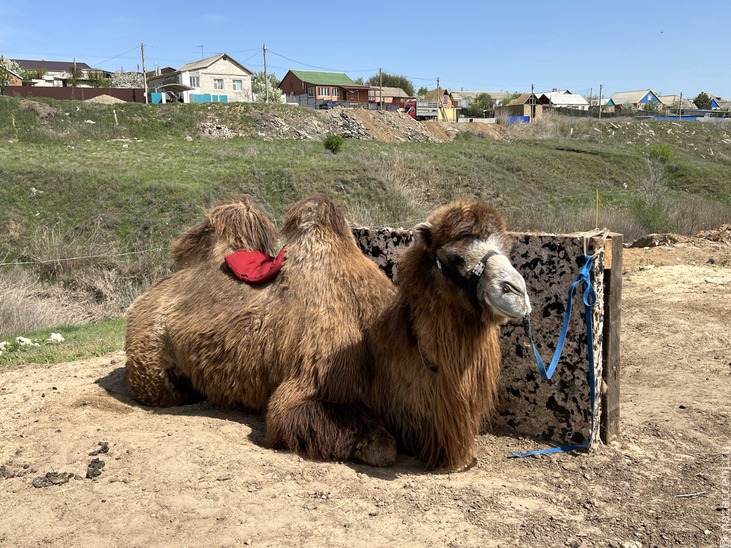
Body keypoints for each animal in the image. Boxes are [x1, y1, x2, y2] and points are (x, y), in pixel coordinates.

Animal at [124, 195, 528, 468]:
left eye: (506, 249)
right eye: (454, 258)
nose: (517, 292)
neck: (374, 342)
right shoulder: (306, 384)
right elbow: (382, 447)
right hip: (146, 352)